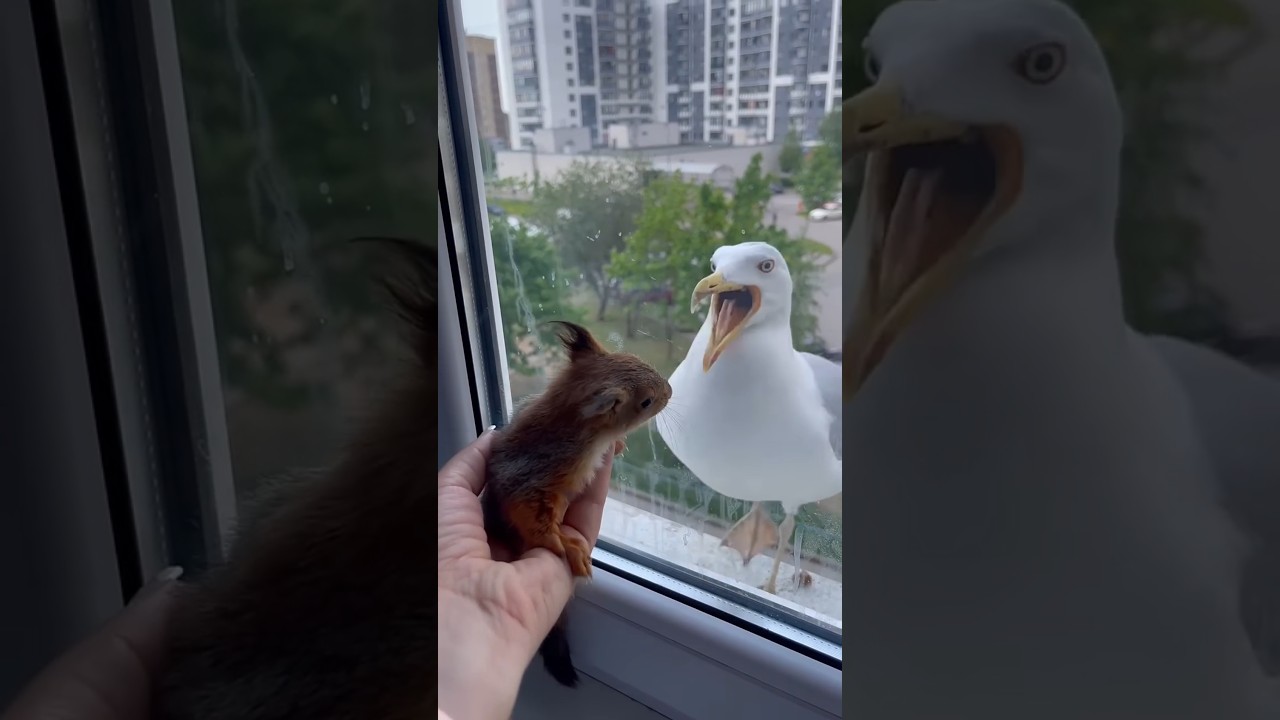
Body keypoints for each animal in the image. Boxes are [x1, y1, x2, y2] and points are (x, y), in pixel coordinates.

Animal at [481, 320, 671, 687]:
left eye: (635, 357)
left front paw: (619, 444)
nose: (670, 391)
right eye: (646, 402)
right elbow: (532, 517)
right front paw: (565, 546)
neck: (570, 418)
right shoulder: (535, 475)